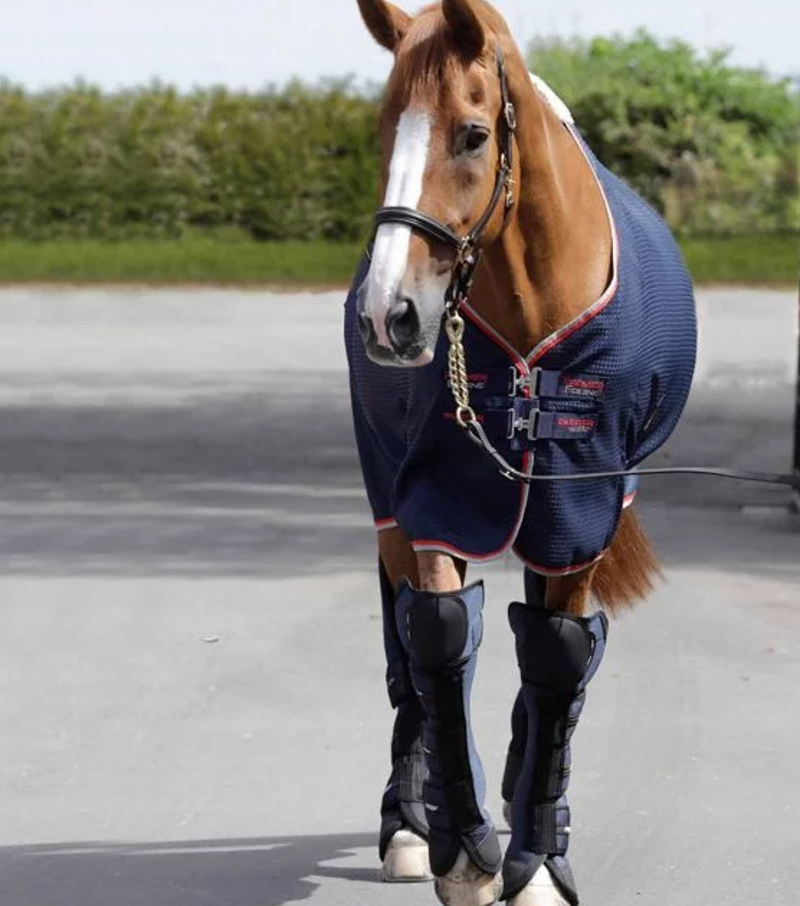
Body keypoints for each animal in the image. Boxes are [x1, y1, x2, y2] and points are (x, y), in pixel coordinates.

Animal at [344, 2, 698, 904]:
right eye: (382, 131)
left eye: (472, 135)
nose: (390, 317)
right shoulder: (436, 496)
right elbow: (437, 639)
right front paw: (461, 852)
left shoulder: (582, 504)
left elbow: (557, 655)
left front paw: (536, 862)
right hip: (390, 501)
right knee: (410, 646)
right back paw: (413, 821)